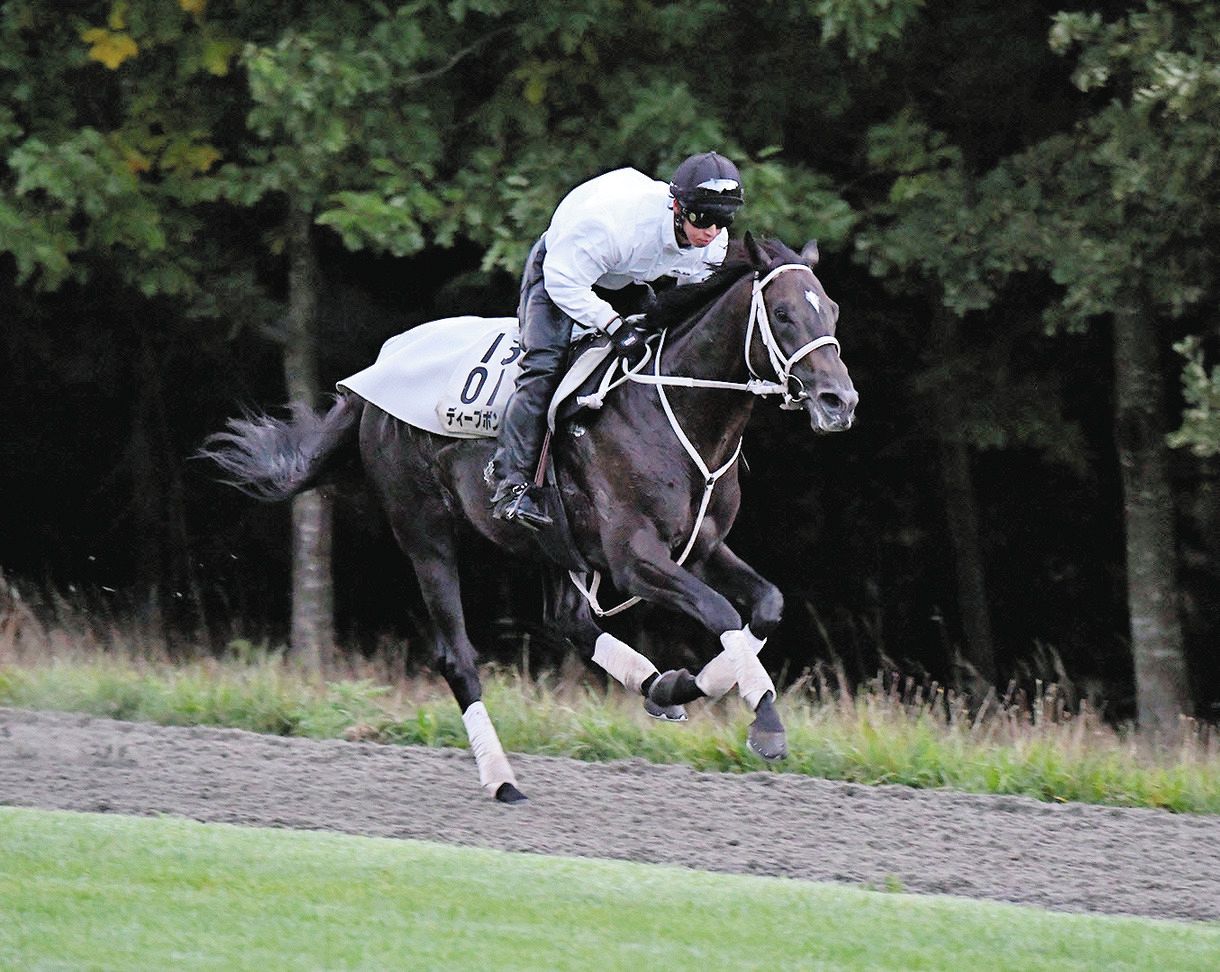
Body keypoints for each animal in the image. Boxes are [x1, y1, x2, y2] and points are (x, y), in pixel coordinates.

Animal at [202, 231, 858, 800]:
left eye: (830, 309)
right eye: (782, 313)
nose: (839, 401)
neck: (675, 410)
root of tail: (370, 381)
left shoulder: (699, 546)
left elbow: (766, 604)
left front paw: (698, 691)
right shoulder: (634, 557)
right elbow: (722, 613)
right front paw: (760, 718)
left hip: (550, 543)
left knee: (570, 620)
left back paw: (657, 686)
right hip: (425, 533)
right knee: (458, 657)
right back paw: (502, 780)